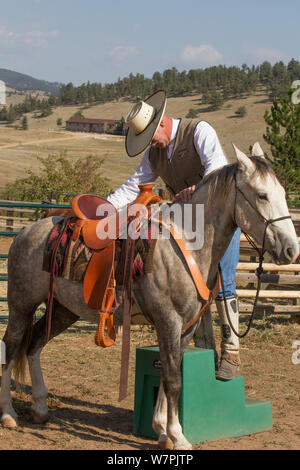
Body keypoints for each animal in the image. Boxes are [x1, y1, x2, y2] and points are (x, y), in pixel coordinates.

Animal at [0, 145, 300, 450]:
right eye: (262, 195)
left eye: (282, 193)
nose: (291, 250)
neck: (188, 243)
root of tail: (26, 232)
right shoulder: (168, 321)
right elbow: (173, 379)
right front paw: (178, 436)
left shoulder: (185, 328)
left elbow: (169, 372)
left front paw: (162, 431)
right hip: (21, 305)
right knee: (10, 348)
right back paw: (9, 413)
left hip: (63, 310)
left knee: (34, 345)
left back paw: (40, 407)